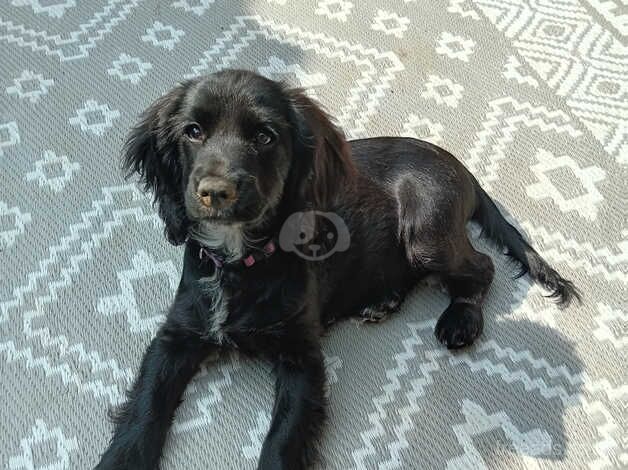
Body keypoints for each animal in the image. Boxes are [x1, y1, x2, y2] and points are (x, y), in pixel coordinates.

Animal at [95, 68, 580, 468]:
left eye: (265, 137)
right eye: (193, 132)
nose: (216, 191)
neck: (240, 262)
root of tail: (459, 165)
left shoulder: (302, 359)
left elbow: (282, 440)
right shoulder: (177, 335)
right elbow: (145, 408)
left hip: (426, 230)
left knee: (480, 267)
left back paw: (460, 318)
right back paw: (384, 300)